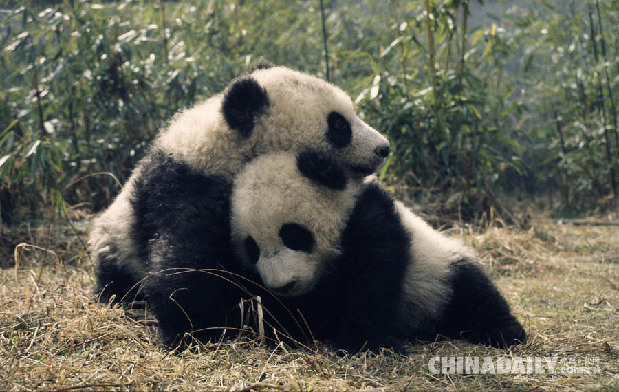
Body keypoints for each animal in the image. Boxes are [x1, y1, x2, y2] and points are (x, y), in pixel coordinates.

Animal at [89, 66, 390, 348]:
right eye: (339, 125)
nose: (384, 148)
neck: (226, 147)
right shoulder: (188, 188)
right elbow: (183, 258)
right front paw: (190, 329)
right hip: (116, 244)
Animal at [232, 151, 528, 352]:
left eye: (294, 235)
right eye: (252, 248)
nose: (284, 285)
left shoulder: (371, 219)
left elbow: (373, 280)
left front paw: (365, 343)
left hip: (440, 269)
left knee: (472, 290)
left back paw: (502, 330)